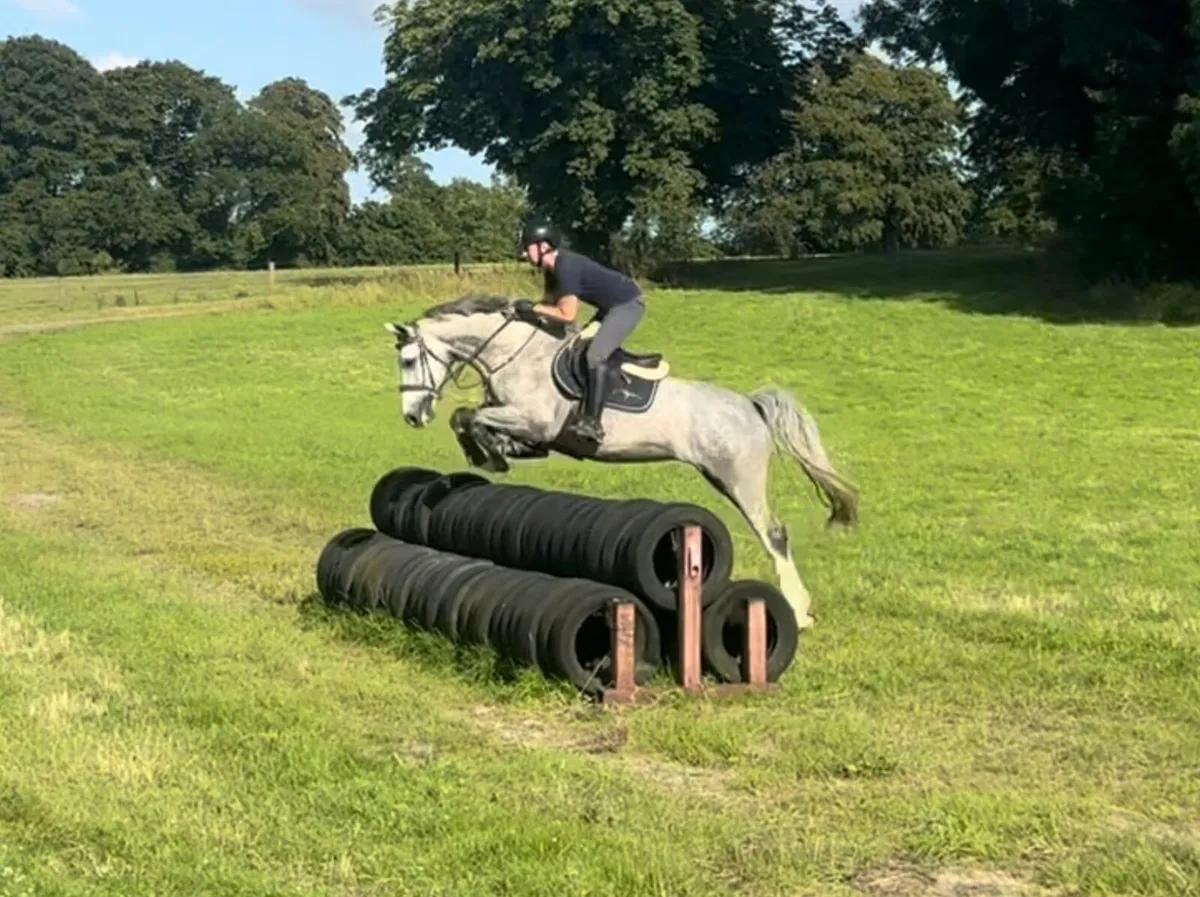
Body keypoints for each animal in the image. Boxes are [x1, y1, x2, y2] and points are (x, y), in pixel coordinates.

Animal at [383, 292, 859, 629]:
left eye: (407, 360)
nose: (411, 417)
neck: (516, 355)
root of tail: (750, 405)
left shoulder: (535, 420)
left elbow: (468, 416)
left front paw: (488, 455)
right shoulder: (524, 423)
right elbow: (469, 419)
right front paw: (492, 451)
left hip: (740, 479)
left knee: (774, 534)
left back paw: (798, 610)